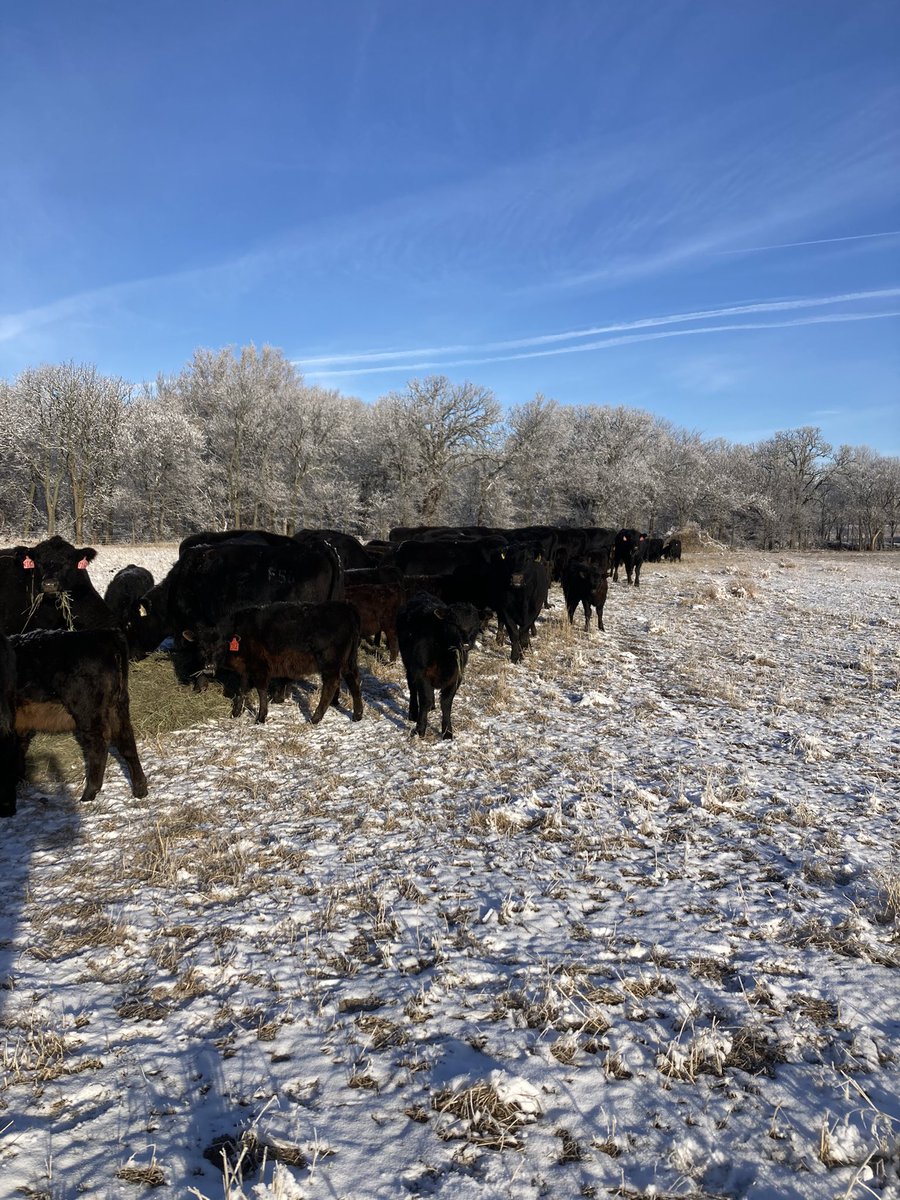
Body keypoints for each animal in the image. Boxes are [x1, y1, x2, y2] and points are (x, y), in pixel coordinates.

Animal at [9, 628, 147, 808]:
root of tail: (106, 634)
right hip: (117, 705)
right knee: (126, 741)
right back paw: (140, 789)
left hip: (87, 710)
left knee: (99, 743)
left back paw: (89, 794)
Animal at [186, 601, 364, 725]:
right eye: (200, 646)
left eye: (221, 645)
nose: (208, 667)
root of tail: (344, 607)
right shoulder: (246, 669)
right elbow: (242, 689)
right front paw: (236, 713)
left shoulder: (260, 667)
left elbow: (261, 691)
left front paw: (260, 717)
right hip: (347, 661)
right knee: (353, 680)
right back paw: (357, 715)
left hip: (330, 662)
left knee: (331, 684)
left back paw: (315, 718)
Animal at [396, 592, 483, 740]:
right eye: (454, 623)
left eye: (475, 625)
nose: (466, 644)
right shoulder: (421, 672)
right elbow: (424, 699)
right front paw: (420, 730)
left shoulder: (456, 676)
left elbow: (446, 703)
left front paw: (447, 732)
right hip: (409, 664)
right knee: (413, 688)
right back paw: (413, 713)